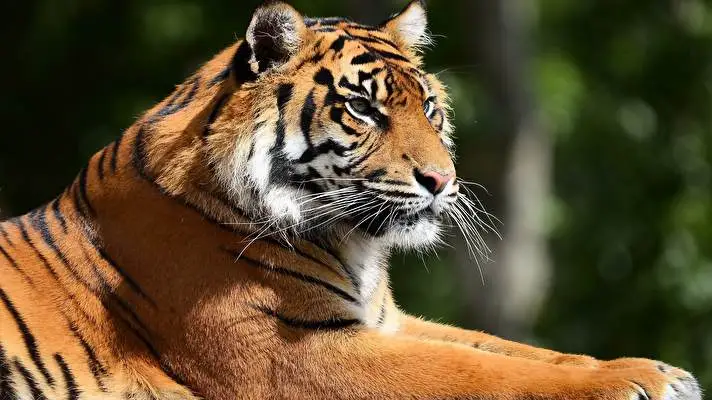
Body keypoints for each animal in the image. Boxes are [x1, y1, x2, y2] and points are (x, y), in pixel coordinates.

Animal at [0, 1, 702, 399]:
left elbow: (509, 350)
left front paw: (657, 369)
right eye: (363, 108)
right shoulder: (298, 354)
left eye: (429, 108)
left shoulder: (387, 322)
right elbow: (482, 373)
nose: (442, 180)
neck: (351, 243)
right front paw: (637, 381)